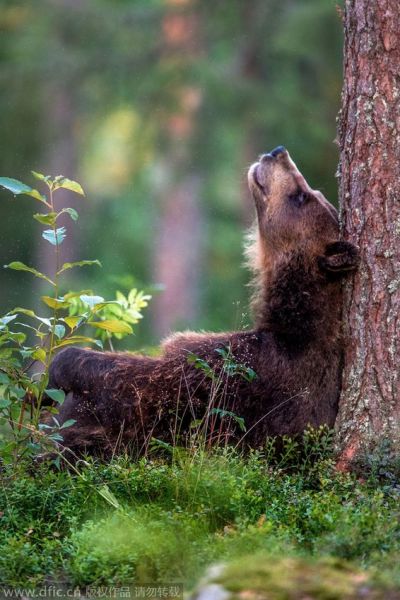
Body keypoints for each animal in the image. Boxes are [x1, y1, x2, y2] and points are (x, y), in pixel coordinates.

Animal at [46, 148, 360, 458]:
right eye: (312, 192)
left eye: (302, 196)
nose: (277, 152)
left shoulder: (242, 373)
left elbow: (149, 377)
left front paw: (60, 369)